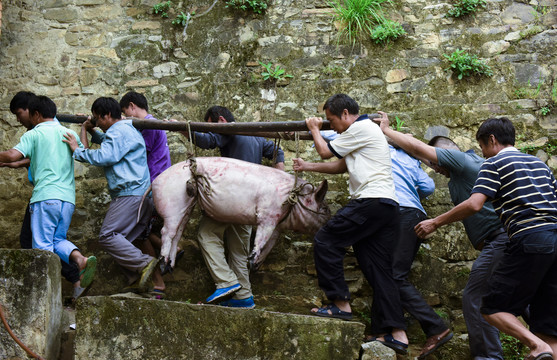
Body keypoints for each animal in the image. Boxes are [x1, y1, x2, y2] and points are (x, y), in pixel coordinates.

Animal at [148, 156, 330, 272]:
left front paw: (255, 266)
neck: (294, 198)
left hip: (187, 206)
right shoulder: (268, 214)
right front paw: (251, 261)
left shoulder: (277, 223)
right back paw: (163, 265)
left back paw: (170, 266)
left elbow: (270, 243)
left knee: (177, 233)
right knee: (166, 232)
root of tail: (154, 181)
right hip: (172, 202)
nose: (329, 220)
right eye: (324, 209)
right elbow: (261, 238)